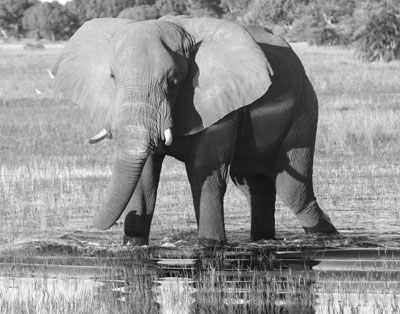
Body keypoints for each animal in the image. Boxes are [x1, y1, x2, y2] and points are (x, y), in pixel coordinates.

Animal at [54, 15, 338, 245]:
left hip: (303, 111)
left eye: (173, 79)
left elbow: (205, 170)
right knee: (255, 187)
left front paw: (209, 245)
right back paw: (263, 239)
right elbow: (145, 177)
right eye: (112, 77)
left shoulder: (220, 100)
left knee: (294, 192)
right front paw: (133, 244)